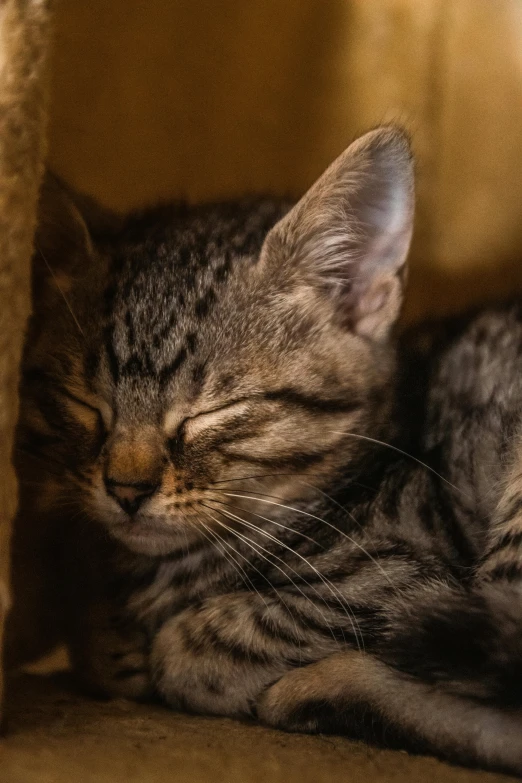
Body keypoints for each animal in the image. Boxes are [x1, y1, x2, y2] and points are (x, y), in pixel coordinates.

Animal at [9, 129, 522, 772]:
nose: (126, 490)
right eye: (84, 404)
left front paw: (158, 654)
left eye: (212, 412)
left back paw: (317, 692)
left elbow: (193, 645)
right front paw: (110, 638)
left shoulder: (410, 586)